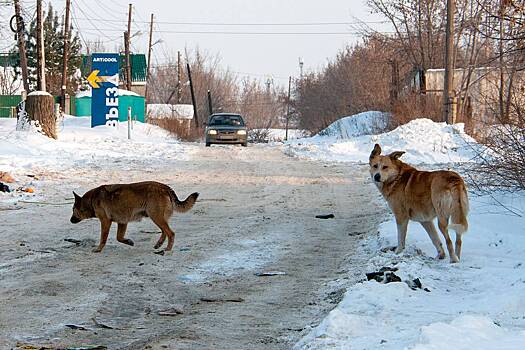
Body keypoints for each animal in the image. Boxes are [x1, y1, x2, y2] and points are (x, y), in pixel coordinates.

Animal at [70, 182, 198, 253]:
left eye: (73, 210)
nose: (70, 220)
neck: (91, 200)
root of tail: (165, 187)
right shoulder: (122, 222)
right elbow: (119, 238)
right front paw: (128, 242)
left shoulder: (105, 222)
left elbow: (103, 238)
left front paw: (99, 249)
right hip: (157, 217)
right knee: (164, 231)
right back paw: (159, 244)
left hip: (156, 216)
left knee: (170, 233)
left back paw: (167, 249)